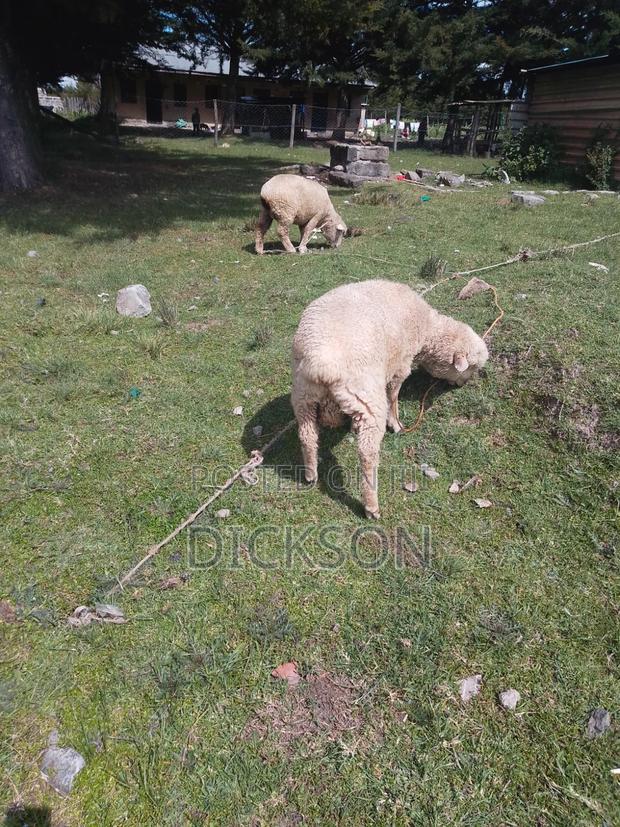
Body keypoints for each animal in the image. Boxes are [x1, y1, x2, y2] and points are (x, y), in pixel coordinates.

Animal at [291, 279, 489, 519]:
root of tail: (320, 365)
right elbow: (393, 395)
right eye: (471, 367)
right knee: (367, 453)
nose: (461, 385)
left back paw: (311, 475)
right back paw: (371, 506)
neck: (427, 329)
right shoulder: (401, 364)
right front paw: (395, 422)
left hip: (303, 398)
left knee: (307, 435)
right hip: (366, 399)